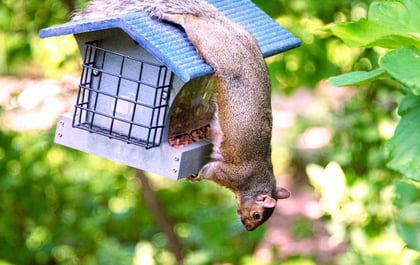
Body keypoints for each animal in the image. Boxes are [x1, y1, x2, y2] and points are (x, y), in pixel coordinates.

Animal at [73, 0, 288, 230]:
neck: (254, 182)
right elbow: (208, 171)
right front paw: (195, 177)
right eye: (257, 215)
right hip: (211, 44)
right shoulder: (227, 173)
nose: (248, 227)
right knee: (191, 22)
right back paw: (171, 16)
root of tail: (227, 27)